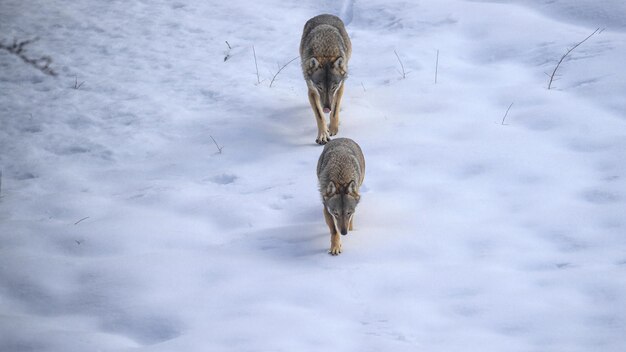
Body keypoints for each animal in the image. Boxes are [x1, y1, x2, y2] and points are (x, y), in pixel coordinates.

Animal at [298, 13, 352, 144]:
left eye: (333, 86)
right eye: (320, 87)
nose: (327, 108)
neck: (325, 53)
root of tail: (324, 14)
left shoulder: (340, 87)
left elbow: (335, 110)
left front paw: (332, 129)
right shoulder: (312, 91)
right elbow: (319, 115)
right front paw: (323, 135)